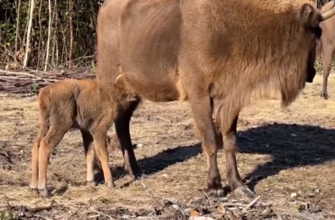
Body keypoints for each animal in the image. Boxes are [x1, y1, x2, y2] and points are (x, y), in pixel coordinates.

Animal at [96, 0, 335, 199]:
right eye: (315, 32)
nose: (311, 73)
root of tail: (104, 9)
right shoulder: (200, 95)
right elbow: (211, 140)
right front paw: (215, 187)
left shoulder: (229, 98)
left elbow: (229, 141)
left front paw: (239, 186)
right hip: (110, 85)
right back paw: (117, 173)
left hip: (132, 93)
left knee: (122, 124)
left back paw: (136, 171)